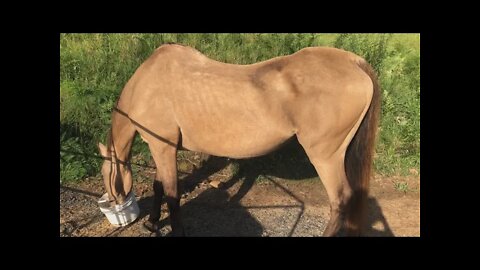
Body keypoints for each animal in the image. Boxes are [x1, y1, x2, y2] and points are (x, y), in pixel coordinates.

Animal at [97, 43, 380, 236]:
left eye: (105, 175)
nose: (114, 204)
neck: (146, 85)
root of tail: (353, 62)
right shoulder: (164, 148)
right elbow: (159, 187)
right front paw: (151, 222)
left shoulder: (162, 147)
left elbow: (172, 196)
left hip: (324, 156)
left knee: (340, 199)